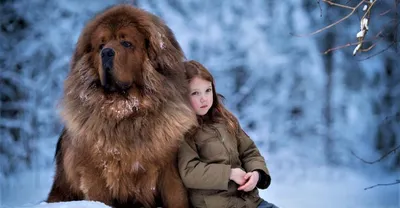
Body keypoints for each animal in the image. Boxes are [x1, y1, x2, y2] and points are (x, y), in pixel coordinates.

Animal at [47, 4, 197, 208]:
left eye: (126, 43)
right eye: (101, 46)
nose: (106, 52)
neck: (125, 112)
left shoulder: (170, 170)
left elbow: (176, 198)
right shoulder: (94, 174)